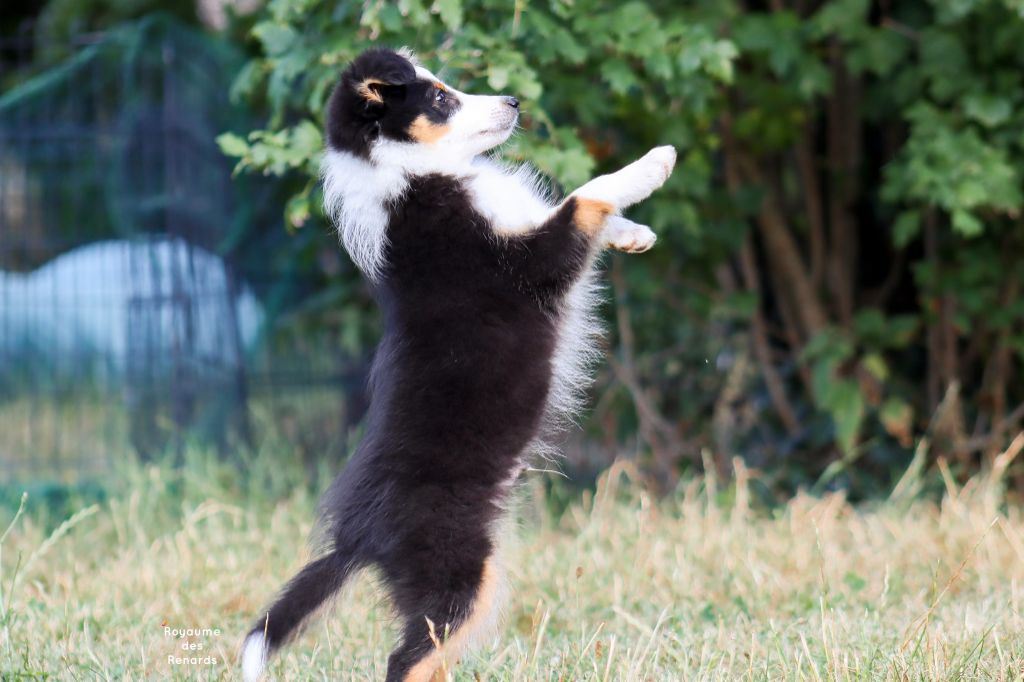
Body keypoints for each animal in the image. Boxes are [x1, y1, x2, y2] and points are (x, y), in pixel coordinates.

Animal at [242, 49, 675, 679]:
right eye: (442, 99)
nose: (514, 101)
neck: (417, 176)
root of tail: (357, 538)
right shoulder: (529, 262)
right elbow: (583, 196)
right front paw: (654, 165)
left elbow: (572, 204)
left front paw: (634, 233)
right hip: (458, 572)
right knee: (405, 660)